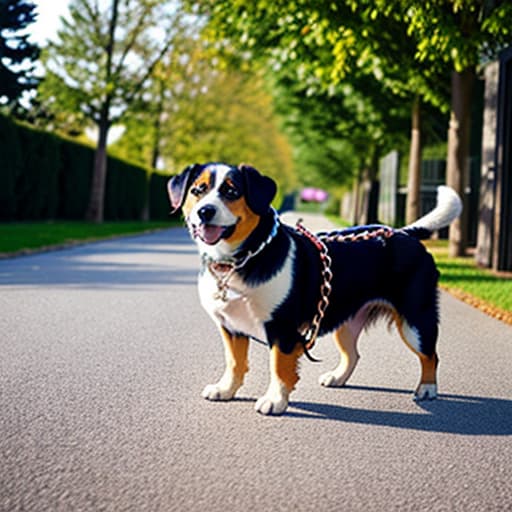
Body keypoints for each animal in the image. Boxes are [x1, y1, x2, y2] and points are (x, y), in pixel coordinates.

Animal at [169, 164, 464, 416]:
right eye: (197, 190)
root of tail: (403, 232)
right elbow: (234, 362)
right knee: (353, 354)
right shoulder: (231, 327)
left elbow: (278, 367)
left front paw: (275, 400)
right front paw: (226, 389)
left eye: (232, 191)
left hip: (416, 321)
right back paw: (338, 377)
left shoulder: (283, 330)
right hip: (347, 323)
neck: (244, 258)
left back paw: (427, 389)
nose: (205, 211)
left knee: (430, 355)